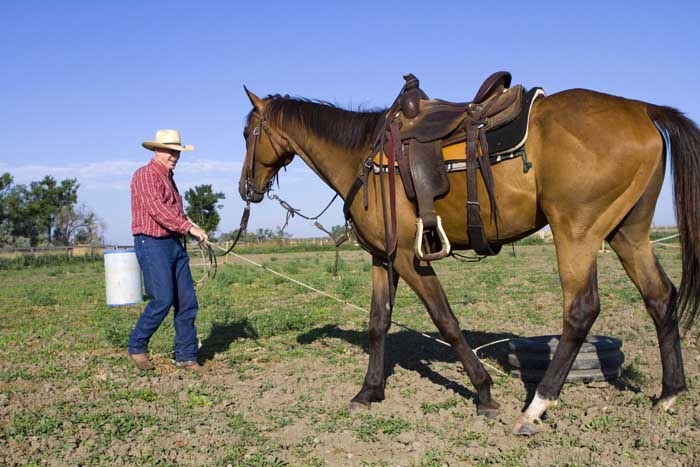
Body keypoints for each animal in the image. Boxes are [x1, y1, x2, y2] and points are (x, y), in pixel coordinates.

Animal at [237, 80, 700, 435]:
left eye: (247, 134)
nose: (246, 188)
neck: (365, 157)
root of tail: (643, 109)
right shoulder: (383, 258)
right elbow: (377, 323)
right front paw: (368, 392)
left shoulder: (409, 259)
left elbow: (446, 320)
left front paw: (484, 392)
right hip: (628, 234)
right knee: (660, 297)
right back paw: (669, 393)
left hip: (577, 234)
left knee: (581, 310)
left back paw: (536, 406)